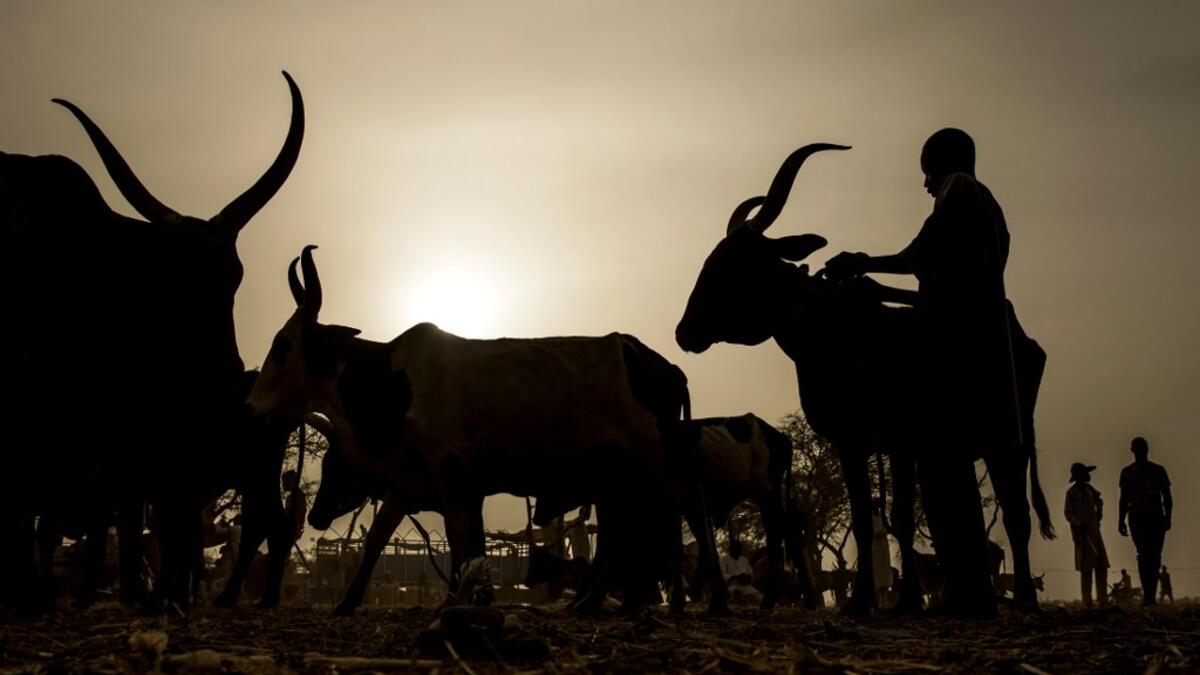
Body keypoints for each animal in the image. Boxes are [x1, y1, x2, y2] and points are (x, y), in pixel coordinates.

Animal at [246, 245, 730, 614]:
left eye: (283, 344)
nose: (251, 404)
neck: (392, 380)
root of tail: (659, 364)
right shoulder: (411, 479)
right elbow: (381, 538)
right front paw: (348, 604)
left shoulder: (452, 469)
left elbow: (462, 540)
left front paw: (459, 601)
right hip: (619, 476)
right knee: (623, 531)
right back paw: (589, 603)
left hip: (655, 458)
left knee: (693, 506)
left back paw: (716, 601)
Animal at [674, 143, 1055, 614]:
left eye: (735, 265)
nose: (684, 332)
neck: (840, 336)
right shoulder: (852, 442)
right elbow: (861, 516)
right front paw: (862, 601)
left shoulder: (905, 441)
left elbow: (902, 518)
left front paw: (906, 600)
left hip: (1007, 440)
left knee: (1017, 514)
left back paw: (1022, 599)